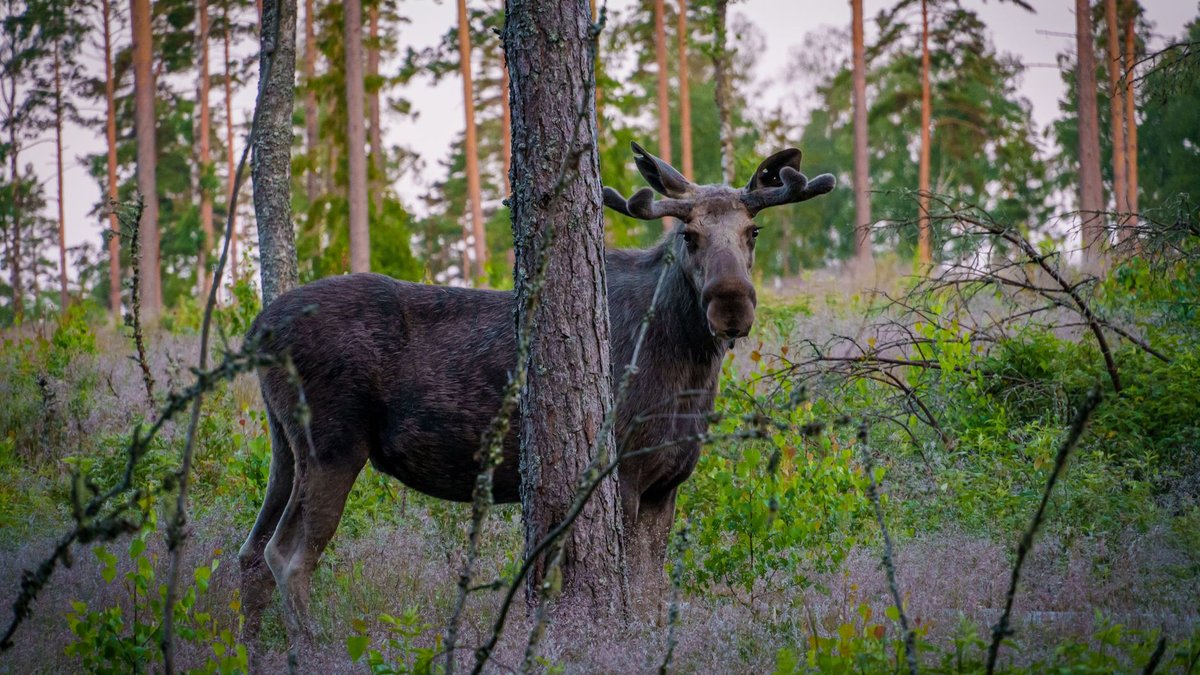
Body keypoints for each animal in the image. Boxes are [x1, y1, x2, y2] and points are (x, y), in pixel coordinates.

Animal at [237, 142, 835, 647]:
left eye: (753, 231)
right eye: (688, 236)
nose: (731, 303)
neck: (688, 375)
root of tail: (256, 330)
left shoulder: (667, 482)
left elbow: (651, 588)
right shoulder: (622, 471)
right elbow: (630, 583)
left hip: (285, 446)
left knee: (250, 552)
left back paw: (253, 649)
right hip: (333, 444)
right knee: (287, 555)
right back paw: (313, 647)